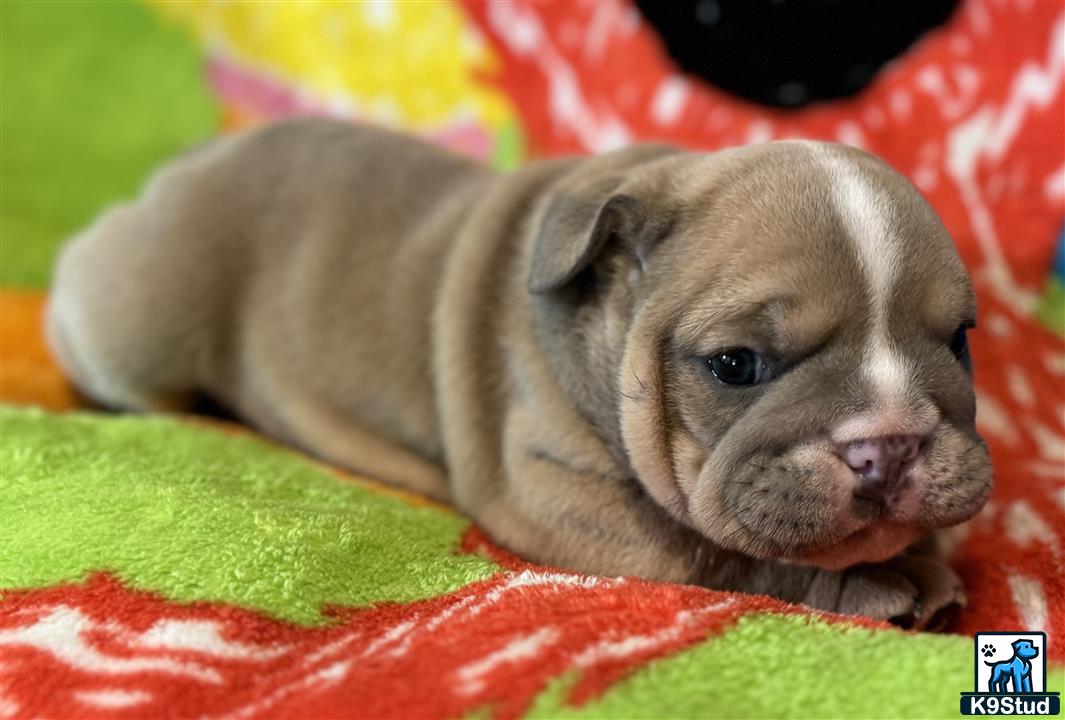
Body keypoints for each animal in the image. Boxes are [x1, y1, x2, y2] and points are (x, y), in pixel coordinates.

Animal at [45, 118, 992, 626]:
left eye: (959, 341)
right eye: (735, 365)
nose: (889, 445)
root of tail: (189, 164)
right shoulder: (555, 490)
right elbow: (712, 551)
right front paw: (879, 579)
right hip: (133, 323)